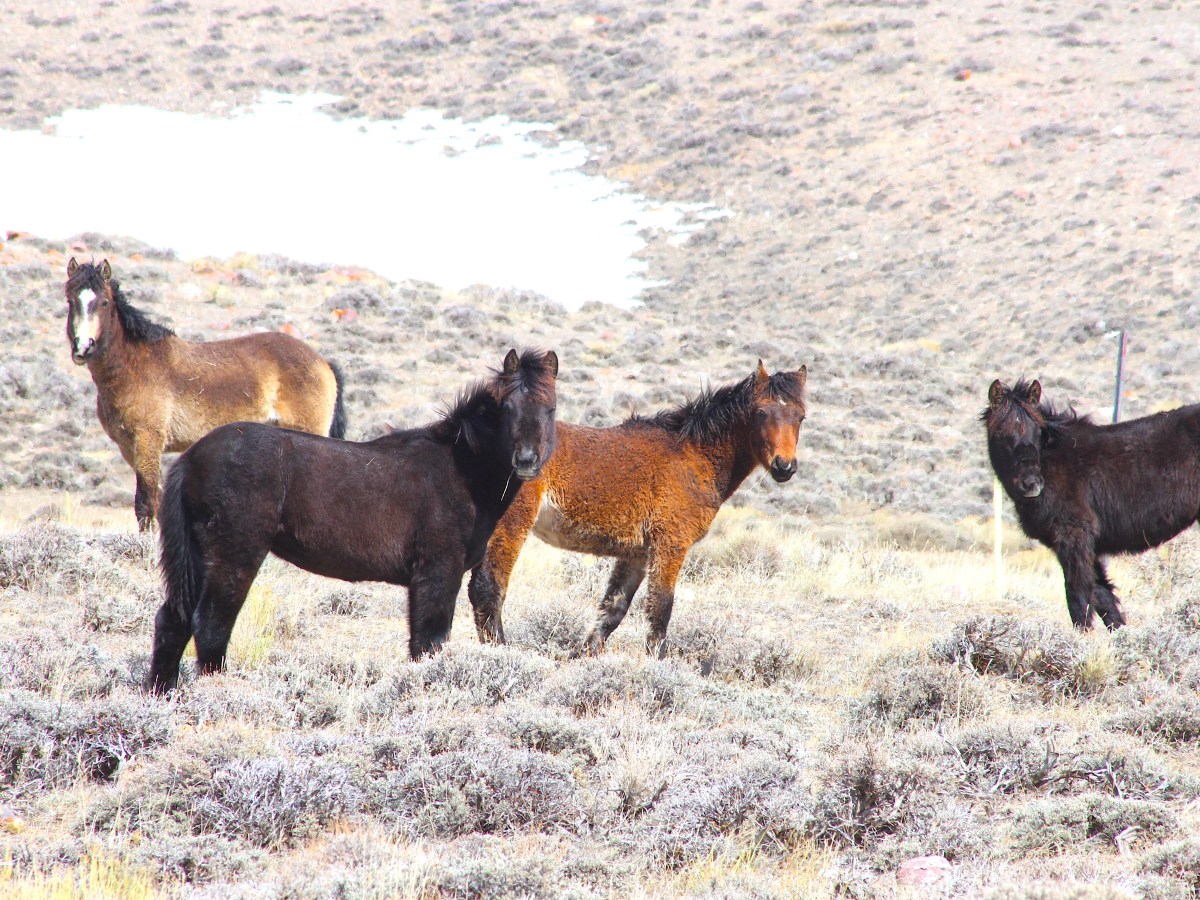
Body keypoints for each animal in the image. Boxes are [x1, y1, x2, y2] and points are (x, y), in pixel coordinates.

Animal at [65, 258, 347, 531]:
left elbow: (146, 504)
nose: (83, 348)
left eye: (103, 302)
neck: (134, 365)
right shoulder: (129, 449)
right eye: (70, 300)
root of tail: (323, 362)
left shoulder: (147, 442)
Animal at [145, 348, 559, 694]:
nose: (526, 460)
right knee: (211, 624)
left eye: (551, 408)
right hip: (234, 557)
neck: (459, 469)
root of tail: (190, 458)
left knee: (172, 622)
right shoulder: (438, 573)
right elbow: (429, 643)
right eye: (507, 408)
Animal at [468, 360, 807, 656]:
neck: (694, 455)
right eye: (760, 413)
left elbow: (613, 610)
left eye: (801, 416)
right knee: (488, 588)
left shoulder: (636, 554)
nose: (785, 466)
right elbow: (660, 610)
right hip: (512, 525)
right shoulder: (670, 545)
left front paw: (585, 658)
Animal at [984, 378, 1200, 630]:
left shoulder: (1073, 536)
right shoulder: (1084, 545)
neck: (1051, 462)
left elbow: (1077, 597)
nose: (1031, 484)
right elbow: (1104, 599)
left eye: (1038, 431)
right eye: (1002, 432)